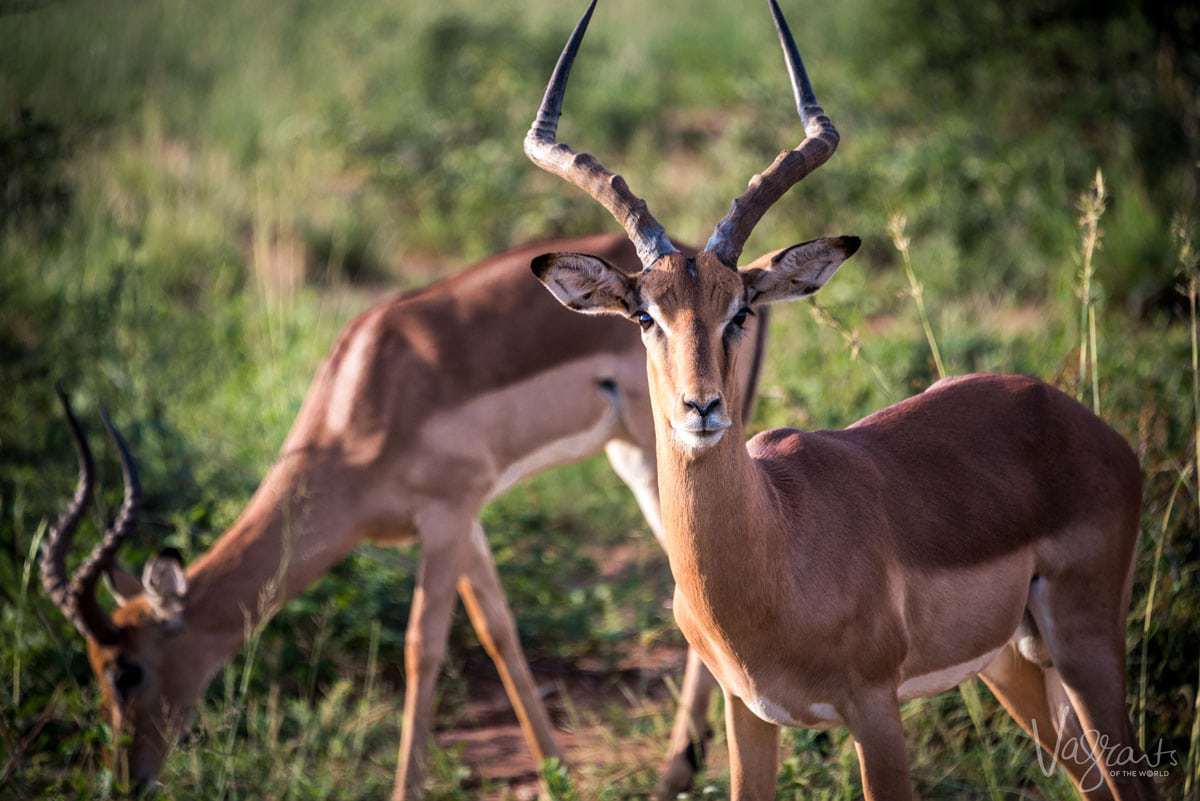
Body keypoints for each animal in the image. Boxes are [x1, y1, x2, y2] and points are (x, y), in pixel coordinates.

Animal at [44, 230, 768, 796]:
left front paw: (406, 787)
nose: (126, 779)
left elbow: (423, 646)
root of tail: (738, 281)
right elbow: (498, 630)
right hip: (629, 455)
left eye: (127, 669)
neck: (365, 399)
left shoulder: (444, 515)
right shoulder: (467, 518)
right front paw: (556, 772)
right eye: (94, 666)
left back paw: (675, 772)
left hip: (658, 453)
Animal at [528, 1, 1161, 801]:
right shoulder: (748, 711)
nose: (701, 408)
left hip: (1084, 643)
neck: (776, 544)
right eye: (645, 316)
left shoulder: (875, 708)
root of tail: (1076, 418)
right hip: (1013, 664)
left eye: (740, 310)